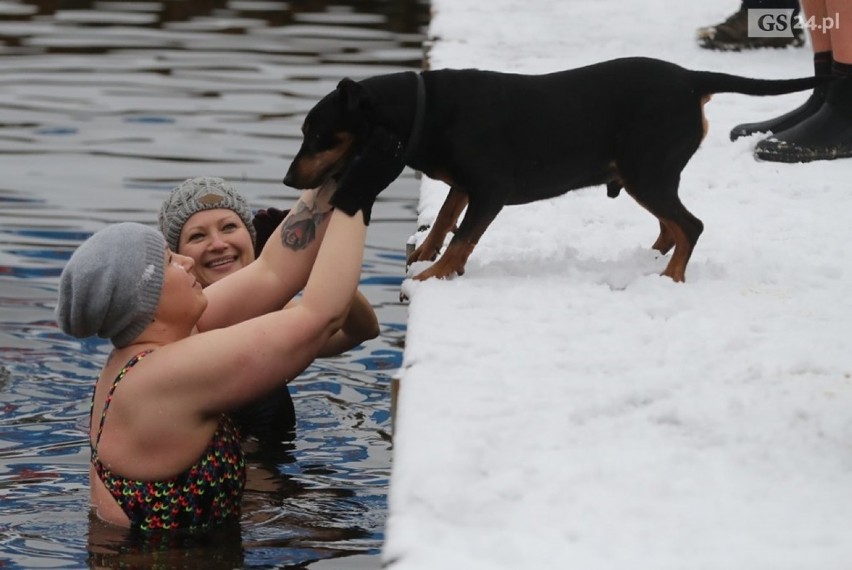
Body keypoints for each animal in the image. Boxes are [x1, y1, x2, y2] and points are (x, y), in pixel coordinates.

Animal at [282, 56, 828, 280]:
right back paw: (652, 260)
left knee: (689, 225)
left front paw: (434, 274)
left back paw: (670, 278)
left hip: (647, 172)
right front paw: (424, 255)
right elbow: (444, 219)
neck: (425, 108)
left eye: (317, 135)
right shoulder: (466, 186)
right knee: (670, 226)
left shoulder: (491, 190)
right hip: (642, 176)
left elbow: (463, 238)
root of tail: (694, 80)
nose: (288, 180)